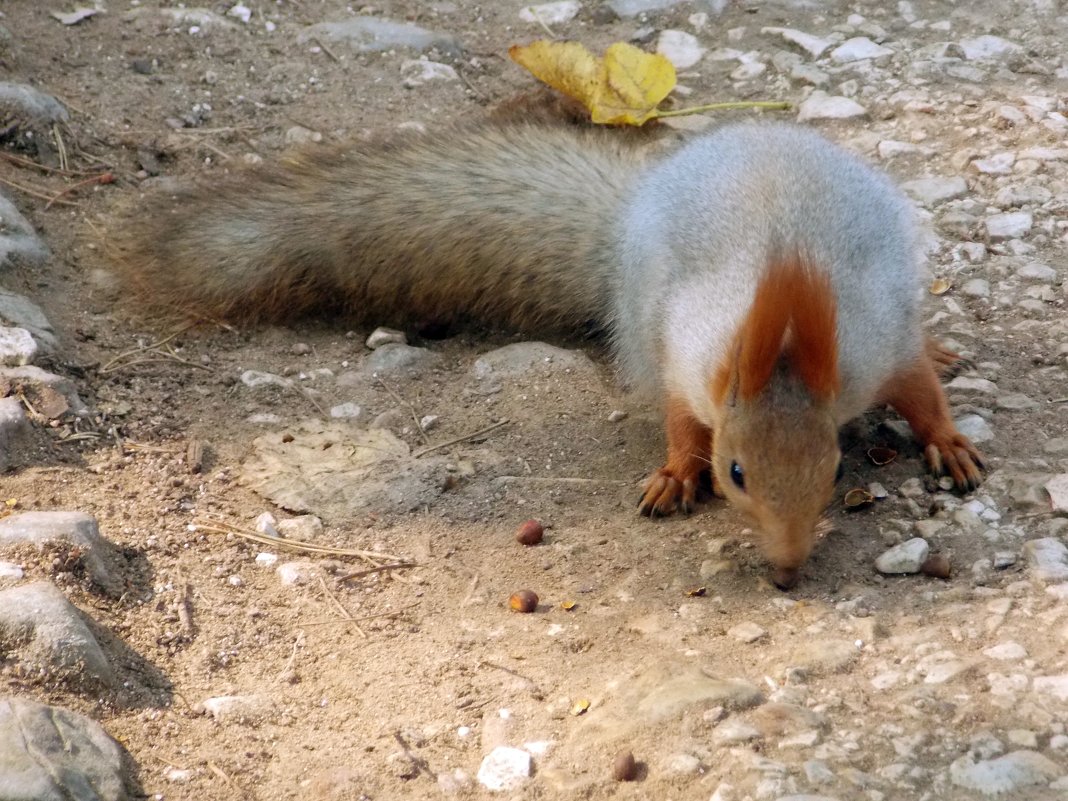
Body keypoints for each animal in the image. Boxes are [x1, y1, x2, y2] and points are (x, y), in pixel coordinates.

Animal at [108, 122, 982, 593]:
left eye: (834, 470)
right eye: (736, 475)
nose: (788, 571)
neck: (788, 342)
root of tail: (632, 209)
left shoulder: (872, 344)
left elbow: (916, 386)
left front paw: (949, 443)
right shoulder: (682, 358)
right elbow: (679, 421)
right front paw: (676, 471)